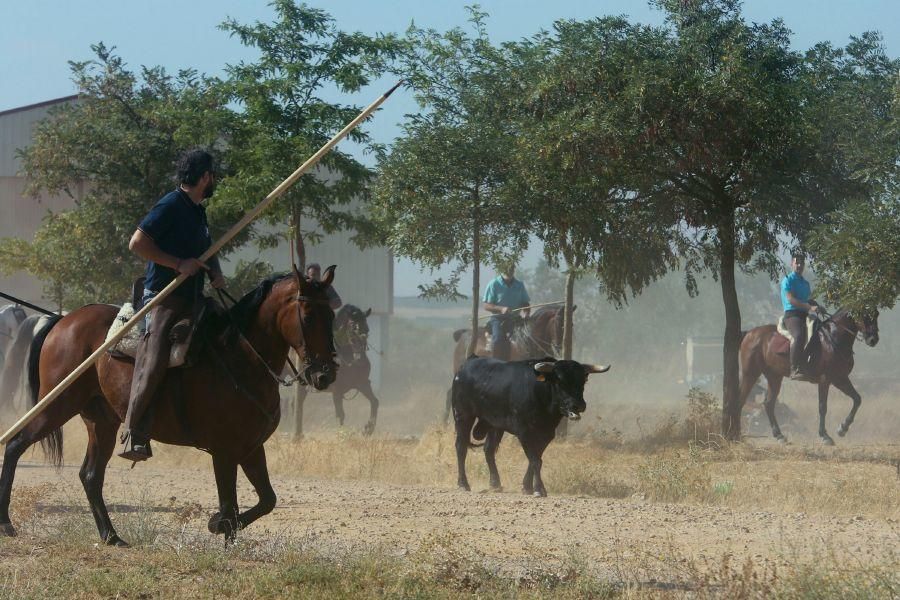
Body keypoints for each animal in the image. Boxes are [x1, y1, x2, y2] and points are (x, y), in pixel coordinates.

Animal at [0, 268, 338, 544]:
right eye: (308, 316)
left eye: (332, 316)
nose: (325, 375)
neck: (240, 356)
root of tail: (62, 320)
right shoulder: (224, 451)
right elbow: (229, 504)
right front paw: (222, 531)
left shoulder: (251, 448)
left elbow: (267, 500)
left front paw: (216, 524)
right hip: (56, 405)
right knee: (15, 444)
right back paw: (6, 524)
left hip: (102, 421)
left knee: (91, 475)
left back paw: (111, 536)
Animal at [294, 304, 382, 436]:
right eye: (352, 329)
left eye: (367, 330)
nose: (360, 360)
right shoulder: (337, 390)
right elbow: (340, 415)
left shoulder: (363, 384)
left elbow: (374, 402)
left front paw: (368, 428)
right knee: (298, 404)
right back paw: (297, 436)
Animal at [450, 356, 612, 496]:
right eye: (559, 381)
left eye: (582, 381)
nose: (578, 405)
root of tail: (467, 364)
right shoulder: (524, 433)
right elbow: (535, 460)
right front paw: (539, 489)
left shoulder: (547, 435)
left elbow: (535, 458)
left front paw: (527, 486)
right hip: (463, 416)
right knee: (461, 447)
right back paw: (463, 484)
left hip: (494, 425)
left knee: (488, 449)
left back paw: (495, 484)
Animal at [740, 310, 880, 446]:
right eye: (865, 315)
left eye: (877, 314)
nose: (873, 339)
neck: (833, 340)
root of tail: (750, 334)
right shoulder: (825, 380)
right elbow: (822, 407)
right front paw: (825, 436)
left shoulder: (840, 378)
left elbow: (857, 399)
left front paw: (843, 428)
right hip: (750, 373)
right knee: (742, 400)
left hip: (774, 377)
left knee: (768, 403)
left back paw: (779, 435)